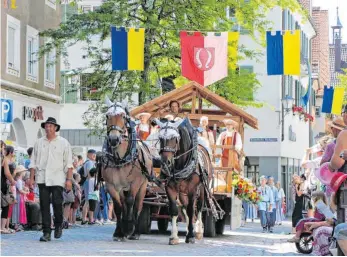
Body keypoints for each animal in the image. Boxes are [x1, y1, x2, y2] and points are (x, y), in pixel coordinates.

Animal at [98, 97, 152, 241]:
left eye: (123, 116)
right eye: (107, 115)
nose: (113, 139)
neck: (120, 159)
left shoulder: (135, 183)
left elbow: (130, 202)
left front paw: (129, 227)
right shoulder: (111, 185)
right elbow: (118, 206)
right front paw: (119, 232)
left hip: (143, 185)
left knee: (138, 205)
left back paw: (135, 231)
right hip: (122, 187)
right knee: (123, 203)